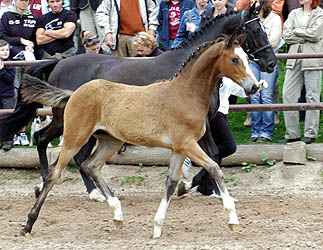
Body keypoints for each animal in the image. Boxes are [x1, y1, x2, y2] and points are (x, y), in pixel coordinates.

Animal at [0, 5, 278, 199]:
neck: (191, 71)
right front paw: (186, 186)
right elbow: (213, 155)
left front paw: (195, 187)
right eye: (256, 30)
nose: (272, 63)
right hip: (66, 120)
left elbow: (217, 154)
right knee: (46, 140)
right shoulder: (196, 126)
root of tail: (59, 63)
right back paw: (57, 185)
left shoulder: (203, 123)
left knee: (70, 152)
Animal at [19, 33, 258, 238]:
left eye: (247, 57)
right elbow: (214, 167)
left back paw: (117, 213)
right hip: (74, 137)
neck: (185, 94)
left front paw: (157, 227)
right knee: (54, 172)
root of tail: (74, 93)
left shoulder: (179, 148)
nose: (254, 86)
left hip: (110, 141)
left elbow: (172, 182)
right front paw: (233, 220)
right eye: (234, 59)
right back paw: (28, 224)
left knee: (90, 166)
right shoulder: (188, 144)